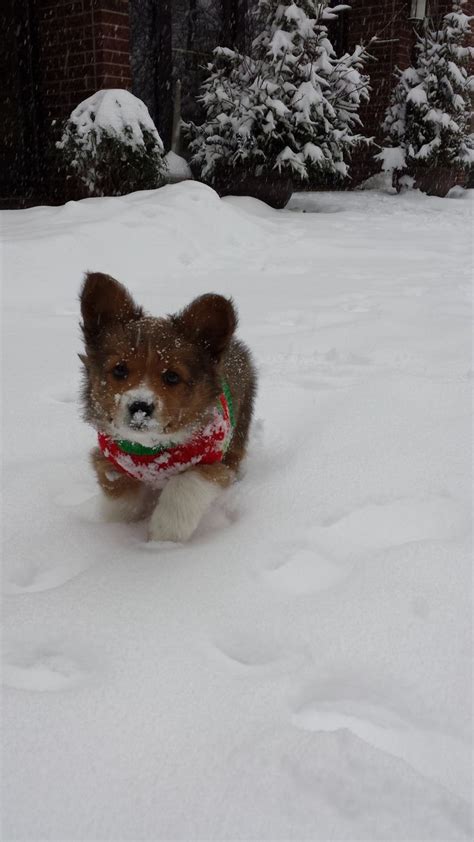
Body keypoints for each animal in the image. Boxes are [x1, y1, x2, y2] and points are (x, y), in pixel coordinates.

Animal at [78, 272, 256, 540]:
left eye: (172, 376)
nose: (140, 407)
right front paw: (118, 528)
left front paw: (164, 537)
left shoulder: (213, 463)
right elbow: (121, 497)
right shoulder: (110, 462)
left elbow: (183, 486)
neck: (150, 450)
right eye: (120, 369)